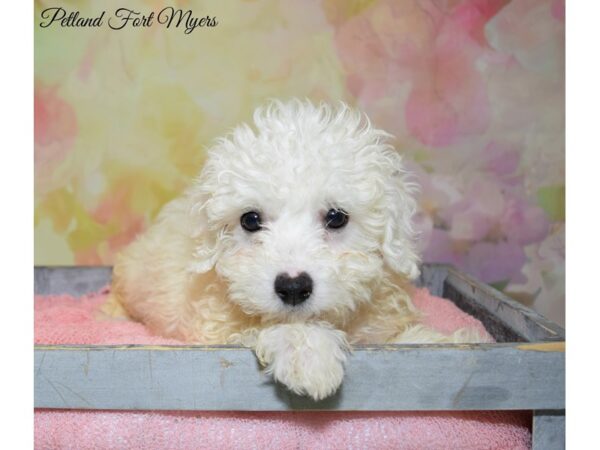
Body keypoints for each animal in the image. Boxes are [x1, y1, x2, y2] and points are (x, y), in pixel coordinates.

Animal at [108, 99, 482, 400]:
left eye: (336, 217)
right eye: (250, 220)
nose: (292, 287)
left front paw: (453, 342)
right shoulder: (215, 330)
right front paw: (309, 353)